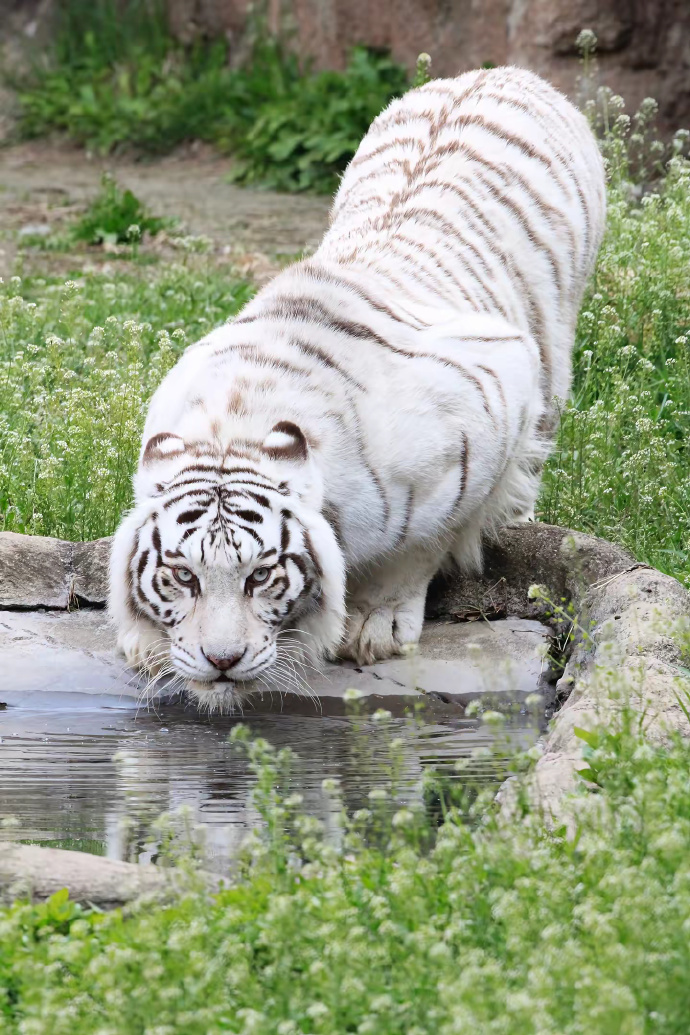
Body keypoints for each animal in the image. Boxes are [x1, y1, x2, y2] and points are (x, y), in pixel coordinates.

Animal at [109, 66, 606, 711]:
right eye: (182, 576)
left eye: (260, 575)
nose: (222, 661)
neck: (235, 425)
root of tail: (499, 72)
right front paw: (146, 645)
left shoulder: (486, 403)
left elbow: (420, 545)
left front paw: (375, 624)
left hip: (555, 340)